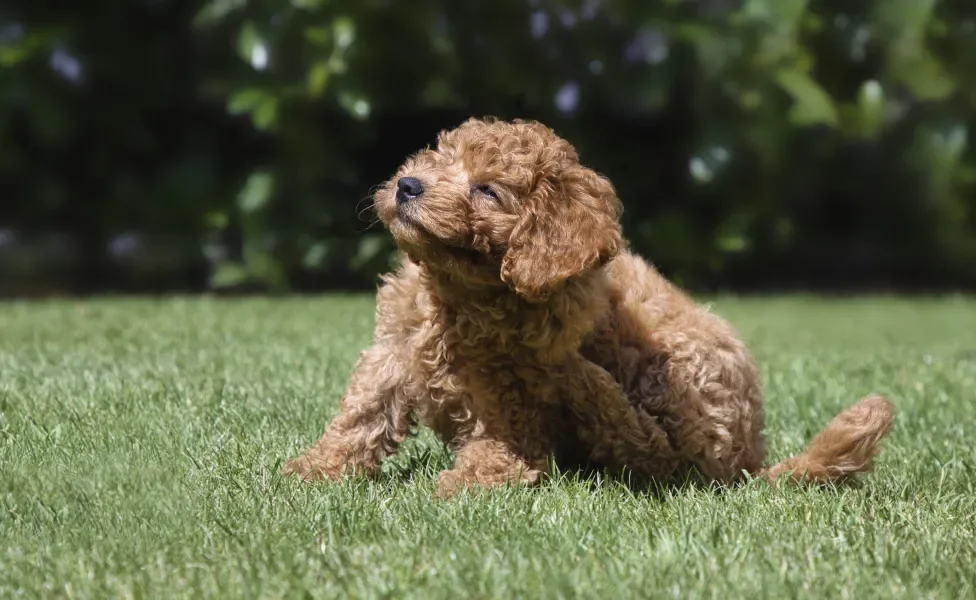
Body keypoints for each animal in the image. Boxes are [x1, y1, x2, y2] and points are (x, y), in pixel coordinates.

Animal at [278, 116, 896, 496]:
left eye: (487, 190)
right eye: (436, 155)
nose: (407, 185)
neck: (463, 291)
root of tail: (753, 460)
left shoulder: (513, 385)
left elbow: (508, 439)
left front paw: (476, 478)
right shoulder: (394, 348)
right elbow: (362, 412)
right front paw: (316, 468)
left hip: (683, 370)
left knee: (663, 457)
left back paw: (588, 386)